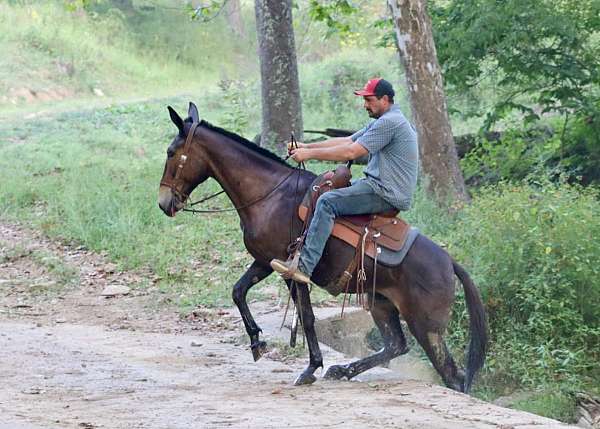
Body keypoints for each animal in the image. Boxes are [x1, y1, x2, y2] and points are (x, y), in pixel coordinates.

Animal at [157, 103, 486, 392]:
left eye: (171, 153)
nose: (163, 203)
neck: (269, 195)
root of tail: (448, 262)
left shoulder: (291, 272)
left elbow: (307, 318)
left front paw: (310, 367)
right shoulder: (265, 261)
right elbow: (239, 292)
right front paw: (256, 342)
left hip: (426, 325)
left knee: (452, 375)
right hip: (380, 303)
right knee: (396, 344)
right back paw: (343, 370)